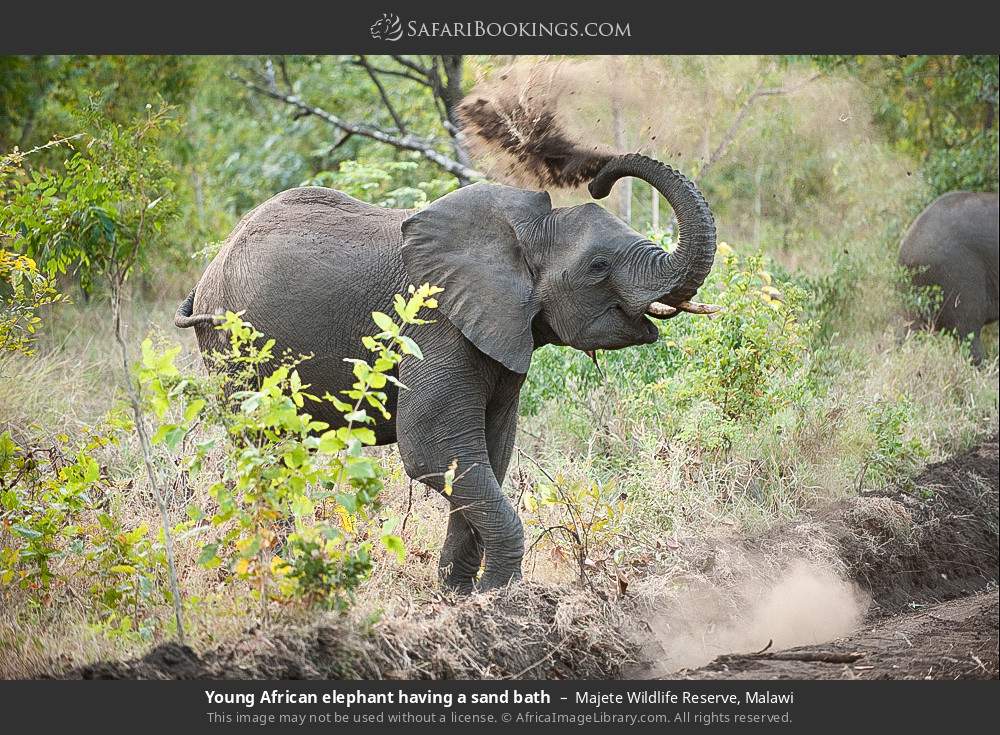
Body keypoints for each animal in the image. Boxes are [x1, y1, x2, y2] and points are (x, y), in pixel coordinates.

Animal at [174, 153, 718, 592]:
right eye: (599, 266)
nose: (599, 180)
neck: (525, 232)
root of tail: (206, 275)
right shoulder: (435, 324)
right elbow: (433, 449)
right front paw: (496, 596)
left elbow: (487, 455)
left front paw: (457, 595)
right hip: (231, 350)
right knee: (262, 448)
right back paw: (279, 572)